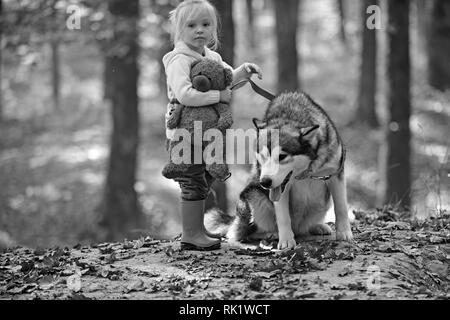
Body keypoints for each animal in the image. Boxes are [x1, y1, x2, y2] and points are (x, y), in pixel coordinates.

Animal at [206, 91, 354, 249]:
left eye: (282, 156)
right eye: (263, 156)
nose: (265, 182)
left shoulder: (336, 174)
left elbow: (341, 207)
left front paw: (344, 233)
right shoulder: (279, 189)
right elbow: (283, 217)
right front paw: (286, 241)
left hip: (321, 204)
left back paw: (317, 226)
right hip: (252, 194)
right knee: (246, 233)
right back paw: (271, 234)